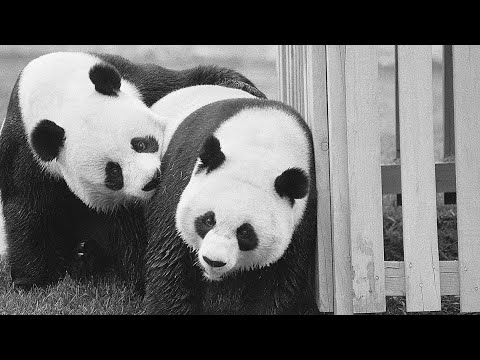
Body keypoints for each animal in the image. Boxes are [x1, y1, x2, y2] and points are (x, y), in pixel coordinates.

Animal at [0, 51, 266, 292]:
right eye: (113, 172)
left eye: (140, 143)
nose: (152, 181)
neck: (58, 93)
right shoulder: (25, 152)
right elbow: (28, 208)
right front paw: (33, 278)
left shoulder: (141, 83)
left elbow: (186, 79)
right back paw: (85, 256)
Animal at [144, 85, 320, 316]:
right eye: (208, 220)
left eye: (245, 232)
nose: (213, 260)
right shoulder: (179, 178)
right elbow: (169, 261)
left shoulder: (301, 218)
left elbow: (279, 281)